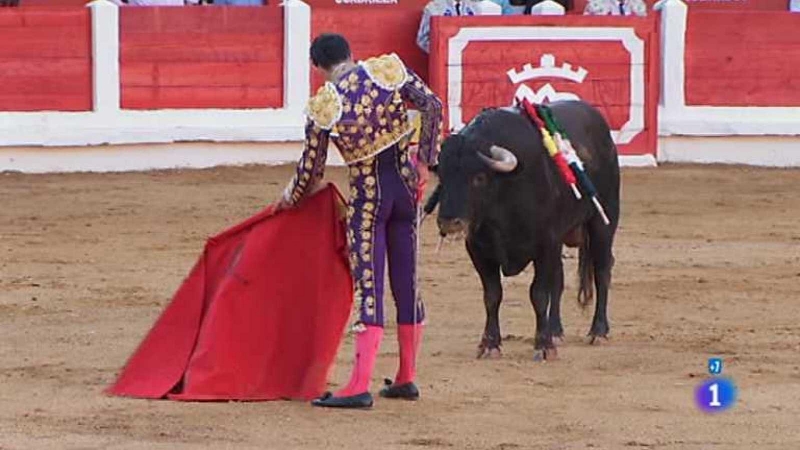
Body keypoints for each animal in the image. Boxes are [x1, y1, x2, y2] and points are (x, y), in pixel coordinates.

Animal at [428, 101, 620, 358]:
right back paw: (555, 330)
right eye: (442, 175)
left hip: (603, 223)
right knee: (558, 280)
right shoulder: (479, 250)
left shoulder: (545, 244)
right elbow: (492, 295)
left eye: (479, 178)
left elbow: (538, 294)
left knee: (602, 271)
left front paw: (544, 346)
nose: (449, 222)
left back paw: (598, 331)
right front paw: (489, 344)